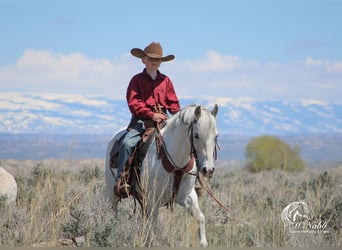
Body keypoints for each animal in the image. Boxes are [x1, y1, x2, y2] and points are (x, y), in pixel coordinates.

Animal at [103, 104, 219, 247]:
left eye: (216, 136)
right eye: (196, 135)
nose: (208, 169)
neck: (176, 163)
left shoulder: (186, 196)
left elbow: (200, 218)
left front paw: (203, 242)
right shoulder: (153, 199)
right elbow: (154, 227)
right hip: (112, 193)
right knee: (113, 212)